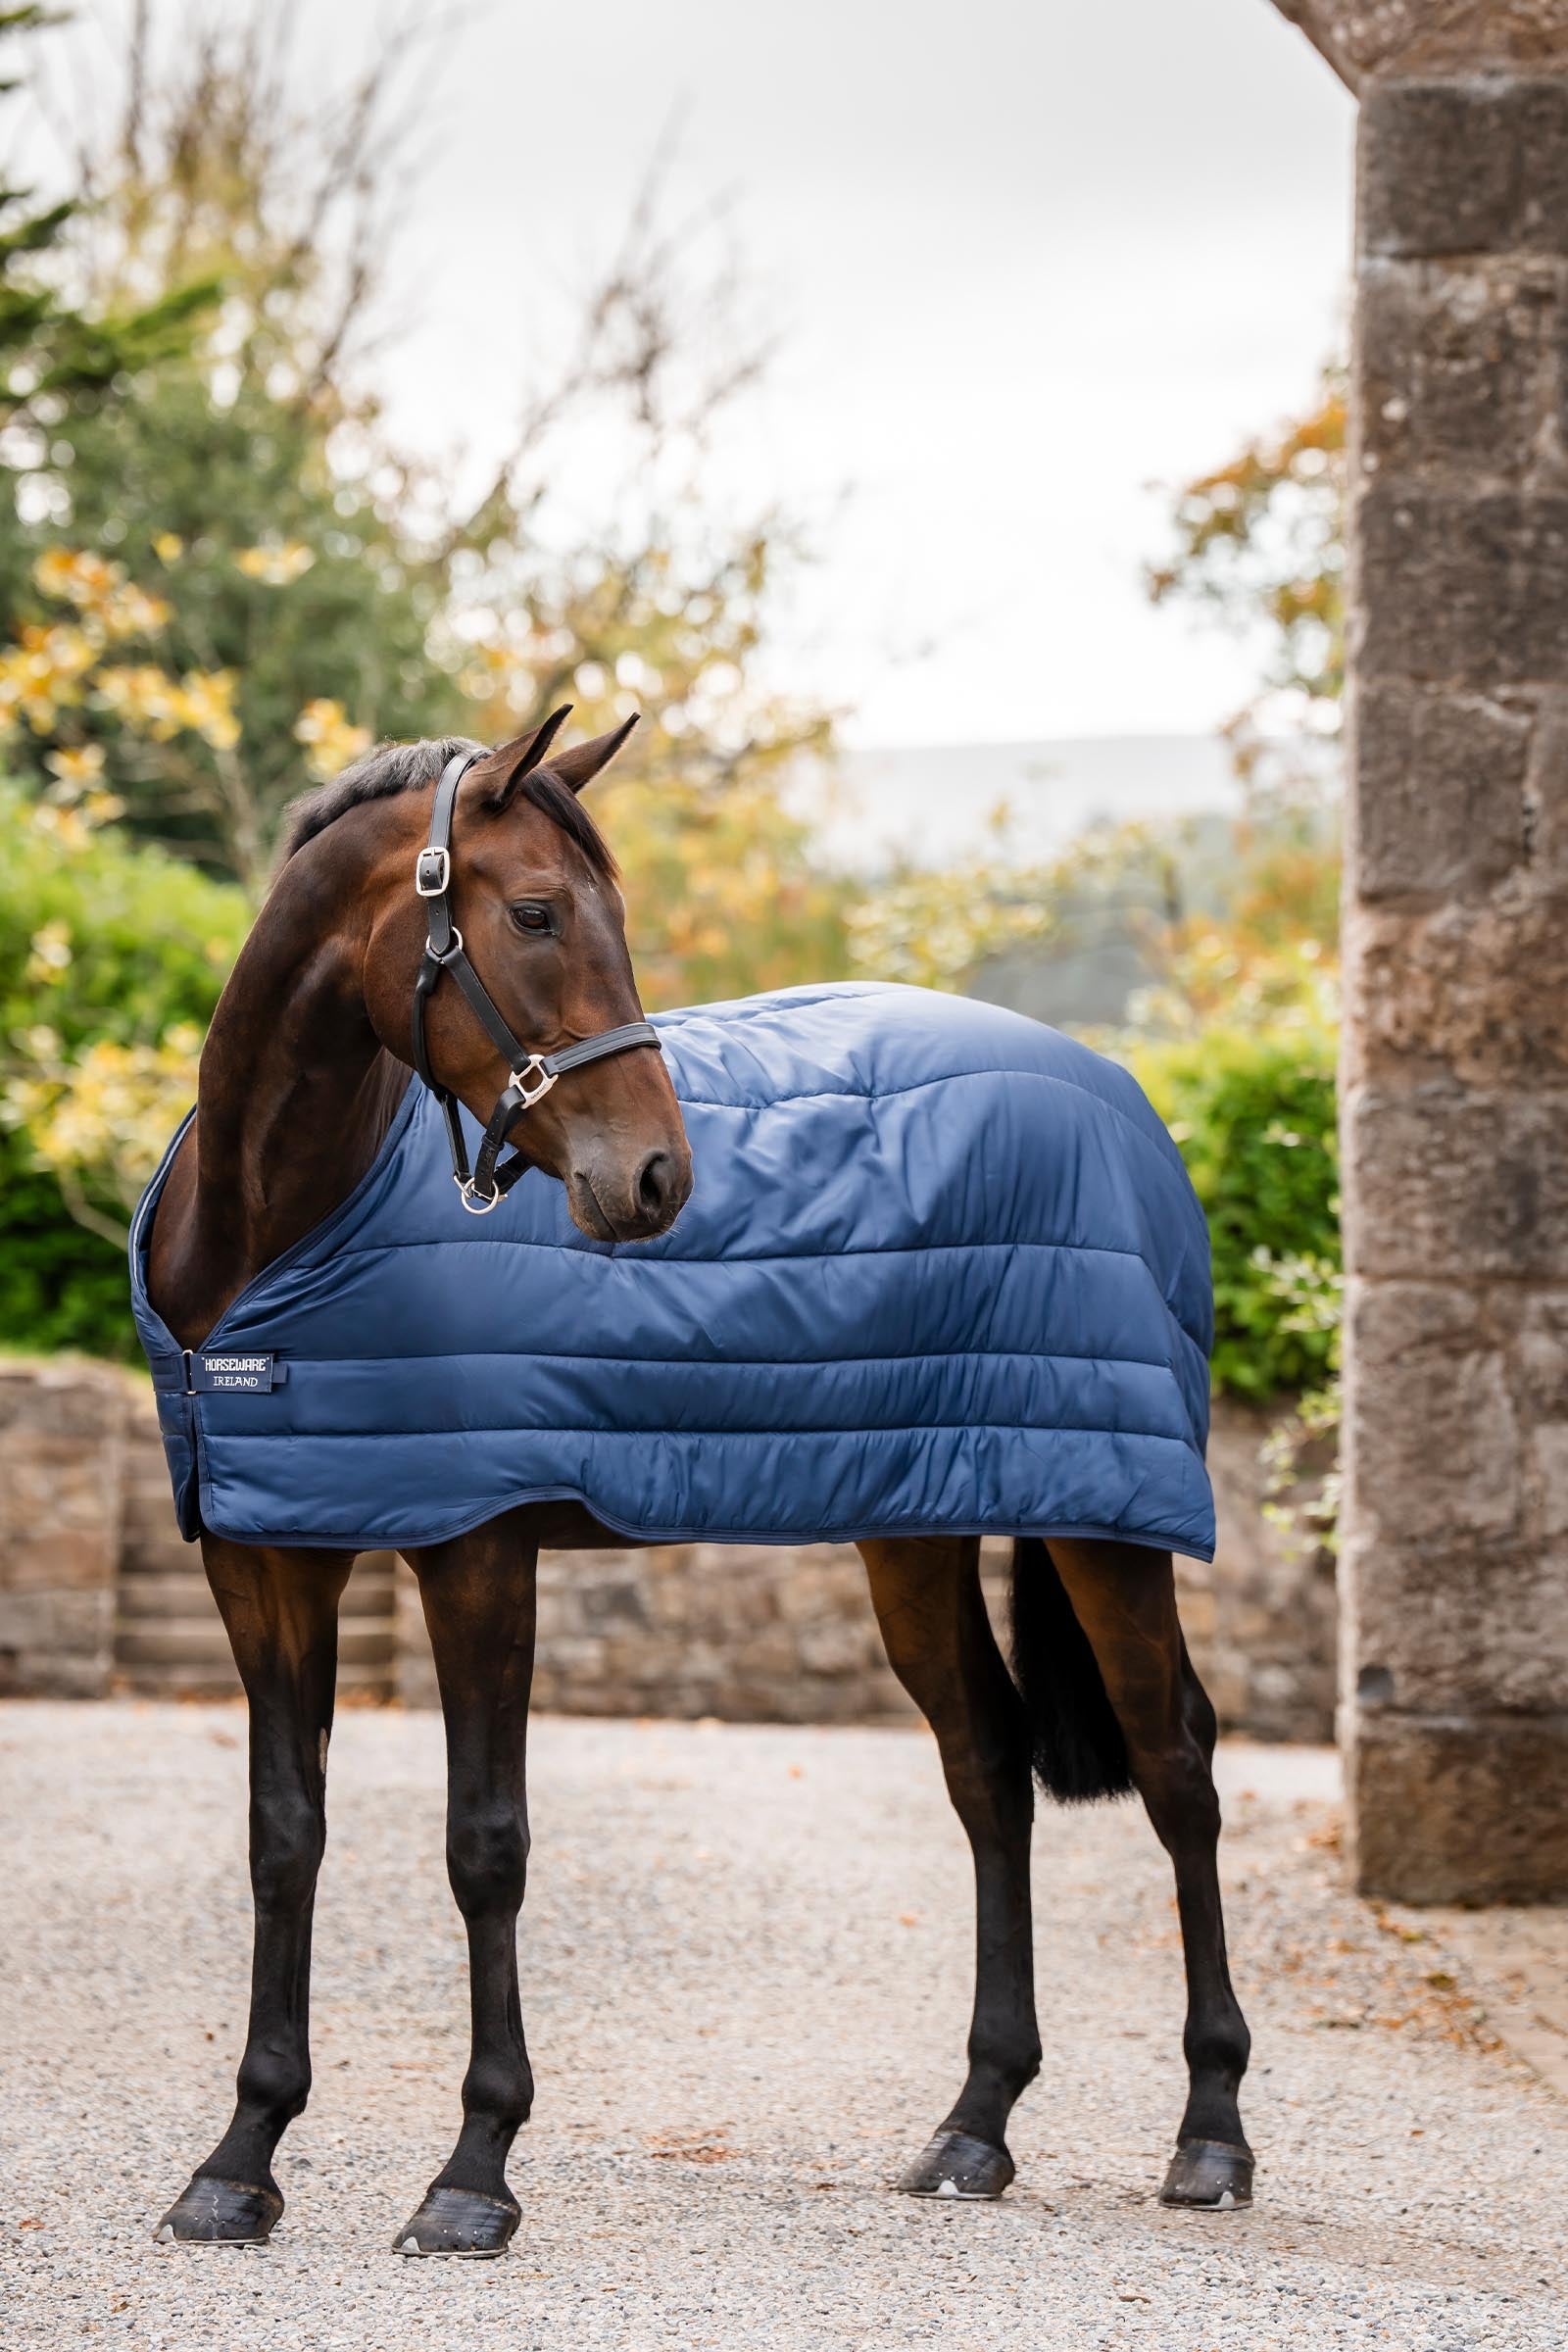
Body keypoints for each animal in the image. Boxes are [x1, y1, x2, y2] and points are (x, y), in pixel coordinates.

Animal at [138, 713, 1252, 2258]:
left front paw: (472, 2174)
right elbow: (283, 1837)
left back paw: (1210, 2134)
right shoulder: (264, 1554)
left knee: (1177, 1768)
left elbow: (485, 1846)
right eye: (536, 914)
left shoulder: (475, 1547)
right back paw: (974, 2128)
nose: (659, 1179)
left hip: (1105, 1522)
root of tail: (1120, 1094)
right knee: (987, 1773)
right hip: (916, 1526)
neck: (276, 1230)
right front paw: (241, 2157)